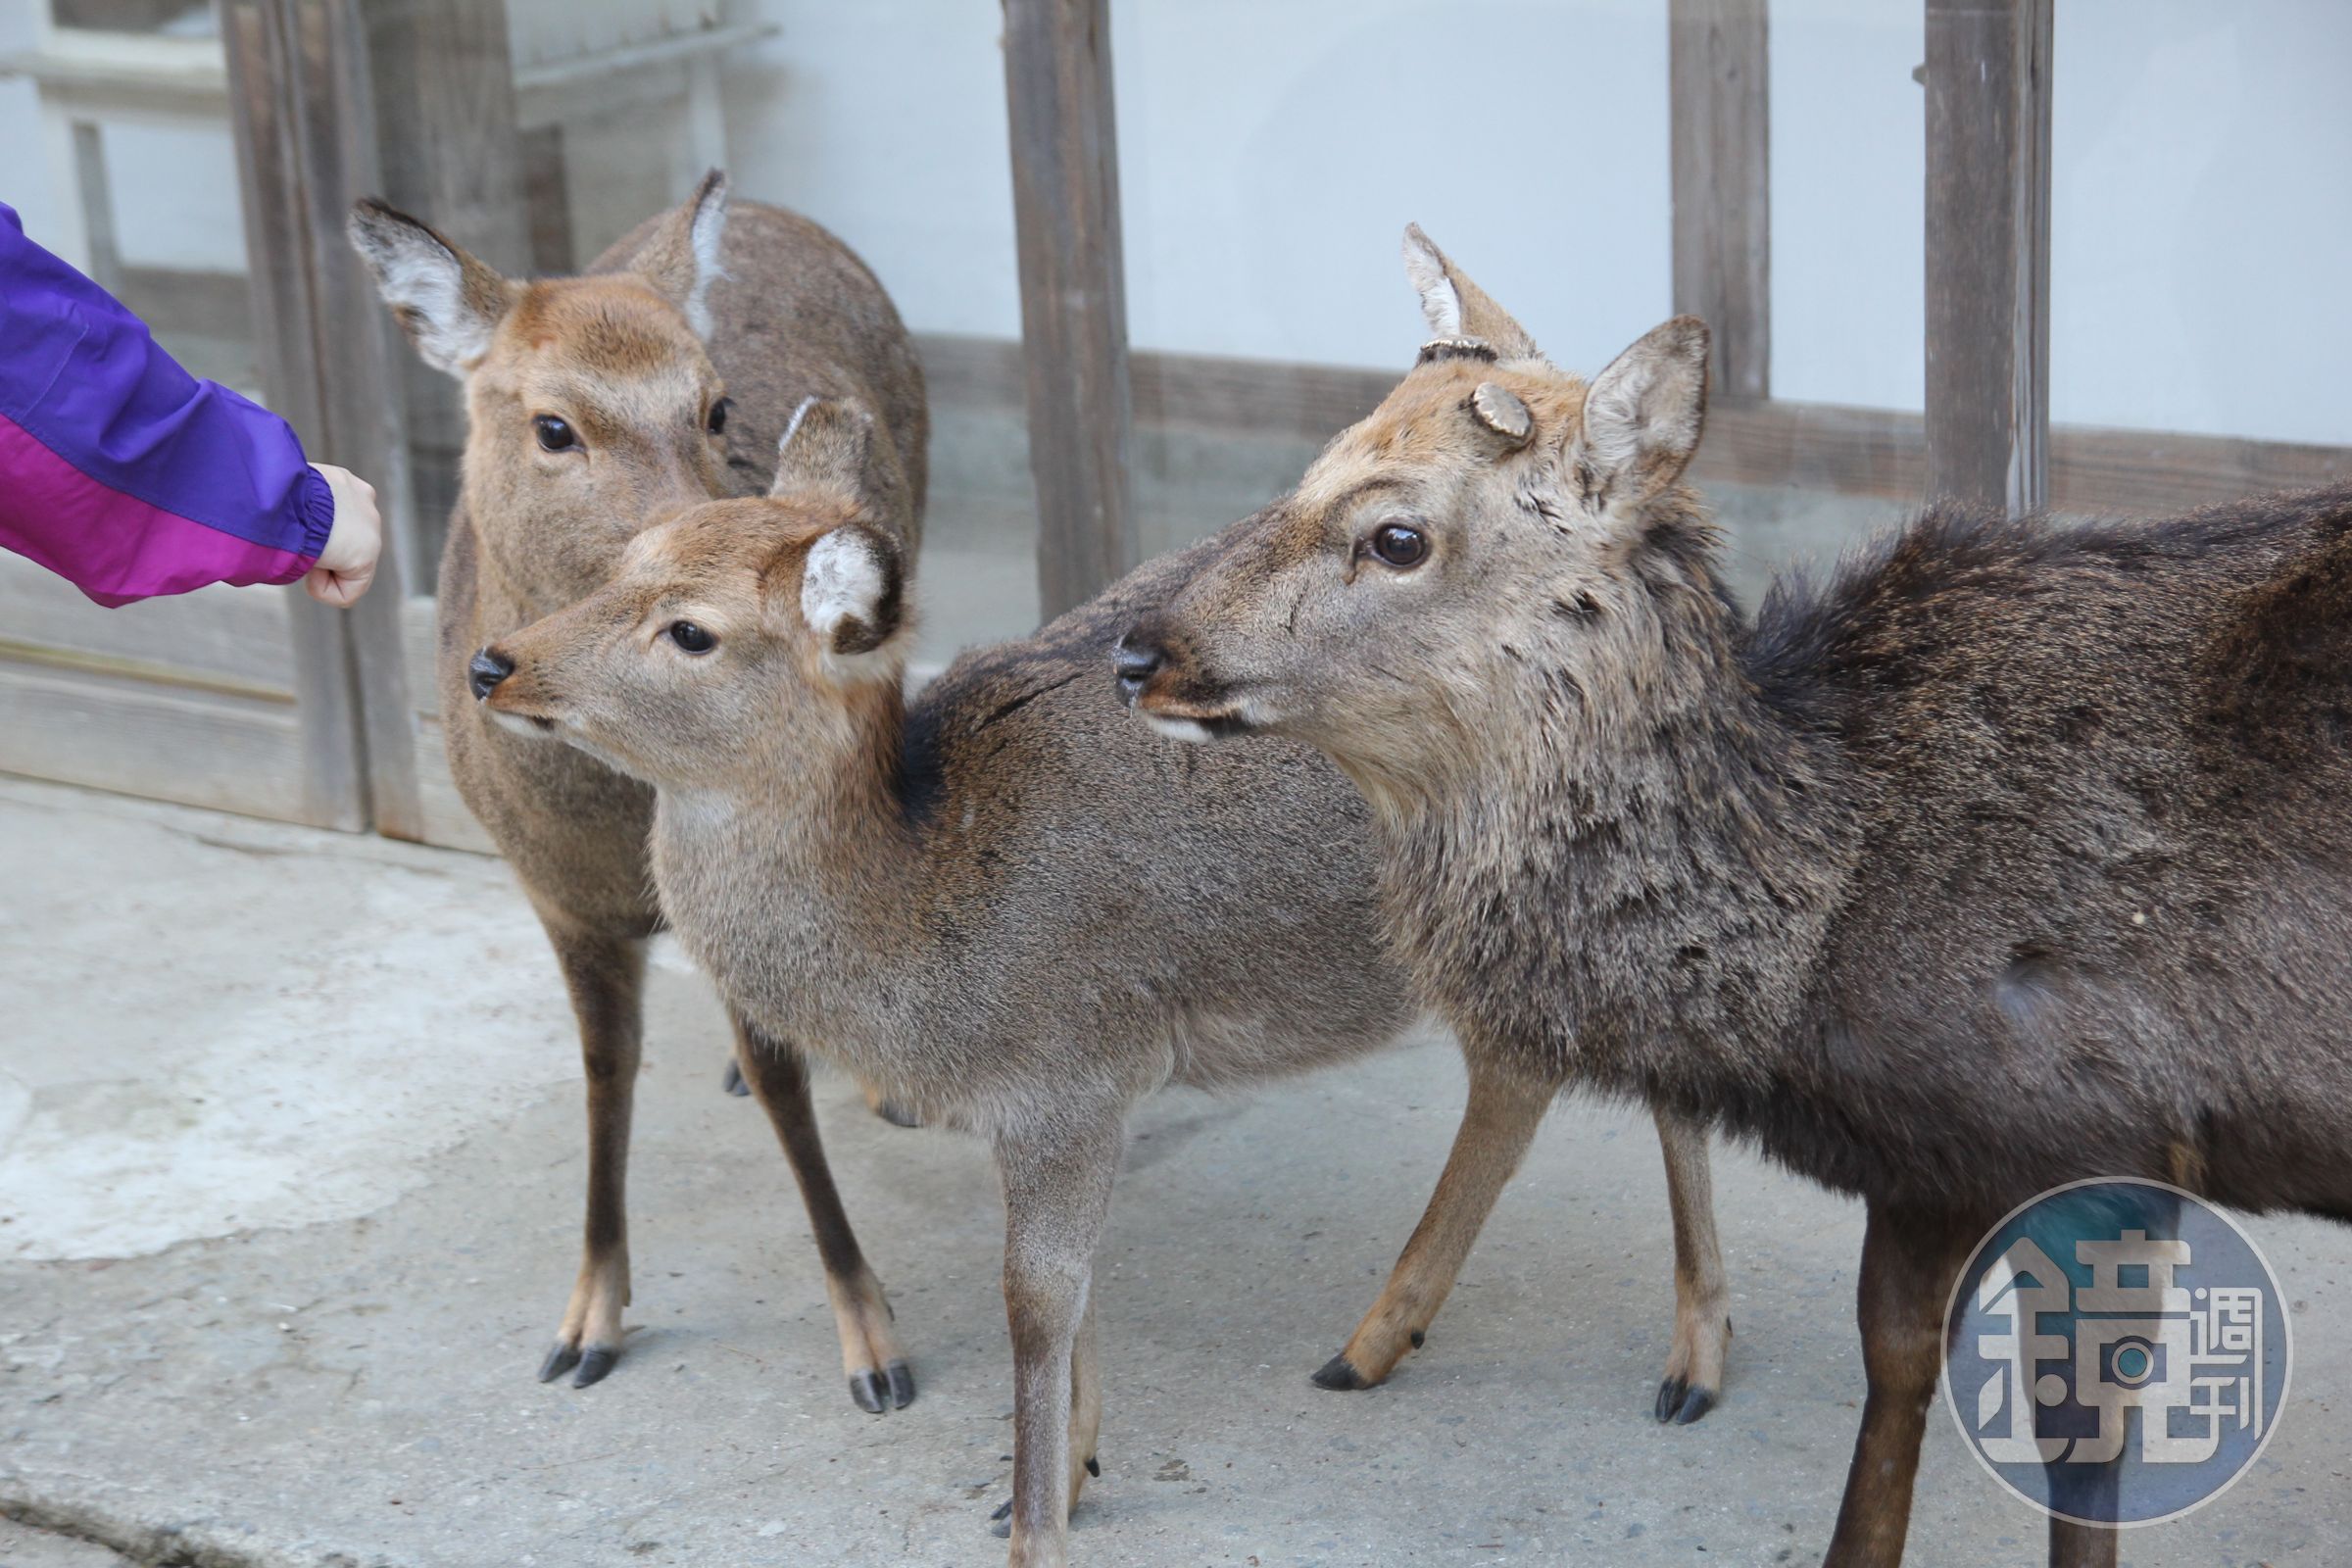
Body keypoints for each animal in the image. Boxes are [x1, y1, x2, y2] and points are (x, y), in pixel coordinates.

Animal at [346, 173, 930, 1408]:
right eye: (552, 424)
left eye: (715, 407)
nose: (689, 539)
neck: (618, 833)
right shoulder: (554, 900)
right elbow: (603, 1075)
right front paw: (586, 1321)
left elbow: (781, 1080)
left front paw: (873, 1344)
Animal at [466, 395, 1734, 1567]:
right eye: (629, 556)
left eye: (692, 631)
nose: (492, 662)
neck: (919, 920)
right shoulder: (1056, 1097)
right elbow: (1070, 1289)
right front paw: (1072, 1470)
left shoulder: (1066, 1072)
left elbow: (1036, 1296)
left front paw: (1036, 1522)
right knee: (1516, 1073)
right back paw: (1370, 1344)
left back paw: (1694, 1363)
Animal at [1115, 225, 2352, 1568]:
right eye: (1310, 468)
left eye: (1396, 535)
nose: (1136, 648)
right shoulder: (1932, 1157)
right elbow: (1896, 1369)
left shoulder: (2102, 1126)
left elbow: (2078, 1441)